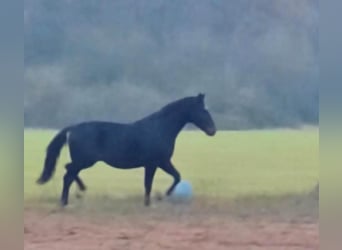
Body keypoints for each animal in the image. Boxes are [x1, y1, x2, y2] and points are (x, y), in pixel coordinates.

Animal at [35, 94, 216, 207]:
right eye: (203, 110)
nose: (213, 130)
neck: (159, 128)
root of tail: (72, 128)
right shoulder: (156, 163)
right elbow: (156, 182)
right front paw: (159, 197)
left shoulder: (160, 162)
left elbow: (172, 177)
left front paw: (154, 200)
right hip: (85, 161)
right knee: (68, 174)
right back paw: (66, 201)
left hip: (84, 161)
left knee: (69, 171)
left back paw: (78, 192)